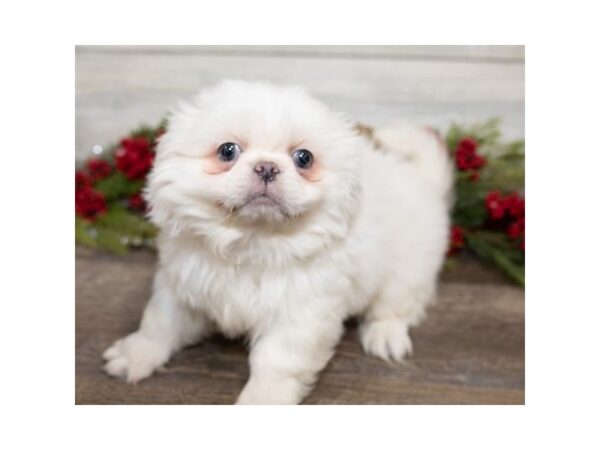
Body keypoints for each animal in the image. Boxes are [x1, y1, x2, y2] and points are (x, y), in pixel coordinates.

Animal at [102, 80, 450, 404]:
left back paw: (385, 335)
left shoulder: (300, 316)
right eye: (227, 151)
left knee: (396, 307)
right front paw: (136, 353)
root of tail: (424, 182)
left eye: (304, 158)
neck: (253, 241)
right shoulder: (181, 286)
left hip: (407, 272)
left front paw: (262, 399)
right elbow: (159, 323)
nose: (267, 167)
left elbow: (276, 362)